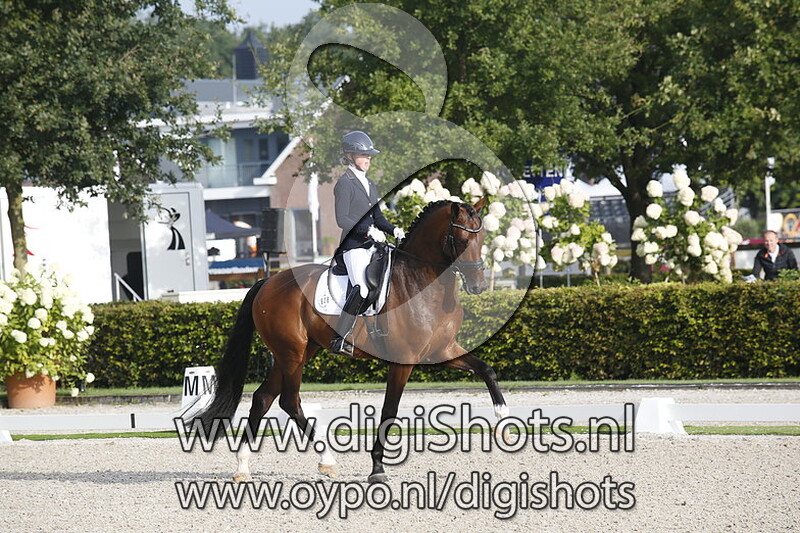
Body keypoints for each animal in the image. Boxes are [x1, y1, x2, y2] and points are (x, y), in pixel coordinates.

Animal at [190, 197, 509, 484]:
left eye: (481, 237)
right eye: (460, 239)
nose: (479, 286)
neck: (422, 283)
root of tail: (267, 282)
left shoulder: (442, 350)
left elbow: (487, 370)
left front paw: (503, 422)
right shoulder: (403, 361)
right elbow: (389, 410)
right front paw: (377, 468)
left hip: (297, 352)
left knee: (262, 398)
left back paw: (243, 467)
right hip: (292, 353)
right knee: (289, 401)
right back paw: (327, 461)